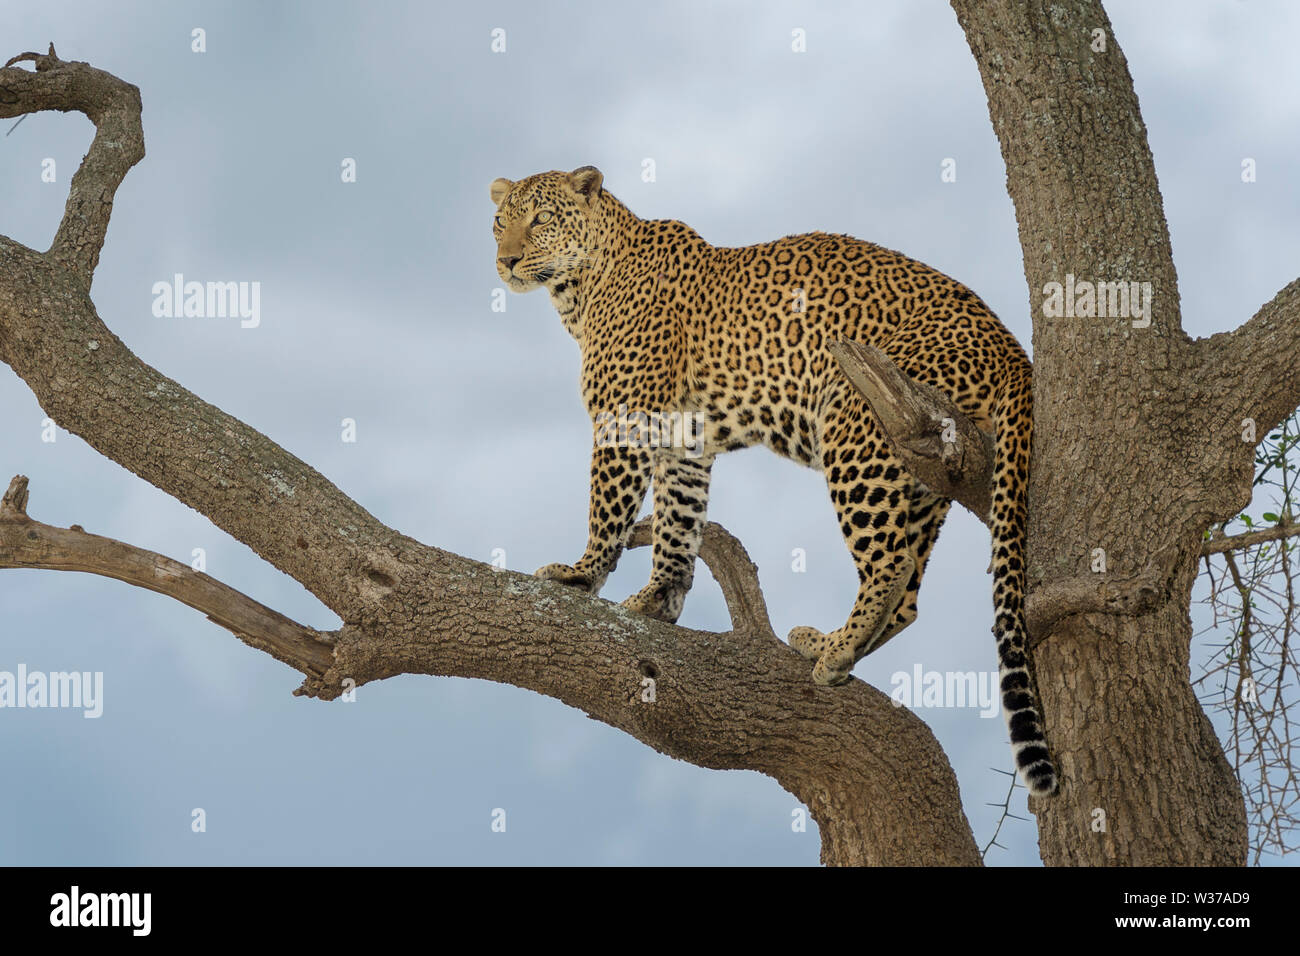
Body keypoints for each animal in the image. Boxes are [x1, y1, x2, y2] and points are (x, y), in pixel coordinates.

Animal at [488, 166, 1055, 801]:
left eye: (540, 219)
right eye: (499, 221)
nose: (506, 260)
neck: (580, 290)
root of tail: (1011, 344)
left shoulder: (626, 418)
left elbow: (607, 506)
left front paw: (580, 576)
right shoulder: (685, 437)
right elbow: (678, 520)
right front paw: (659, 598)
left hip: (855, 418)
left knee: (890, 564)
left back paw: (837, 651)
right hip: (924, 471)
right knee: (909, 592)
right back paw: (827, 643)